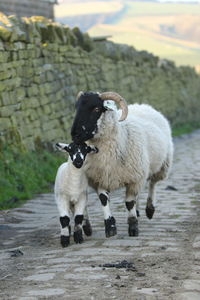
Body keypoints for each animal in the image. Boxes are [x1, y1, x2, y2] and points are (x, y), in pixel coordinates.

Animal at [70, 91, 173, 237]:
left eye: (96, 109)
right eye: (77, 107)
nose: (74, 134)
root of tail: (141, 105)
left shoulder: (135, 178)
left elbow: (129, 202)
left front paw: (133, 227)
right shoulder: (100, 177)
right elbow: (104, 200)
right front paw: (110, 227)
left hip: (162, 164)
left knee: (153, 183)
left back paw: (149, 209)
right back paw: (138, 211)